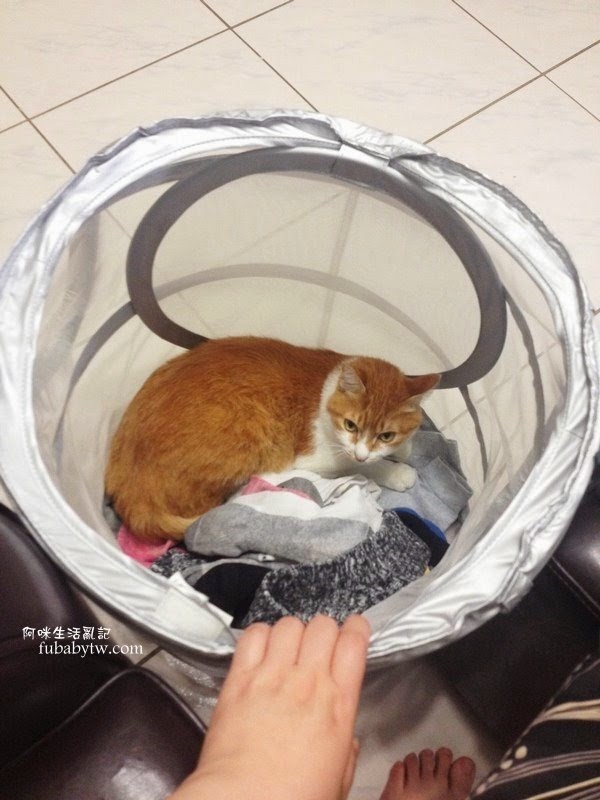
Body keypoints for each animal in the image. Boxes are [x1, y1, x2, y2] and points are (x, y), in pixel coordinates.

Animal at [105, 336, 439, 541]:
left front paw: (403, 449)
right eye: (351, 425)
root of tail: (130, 489)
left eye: (386, 434)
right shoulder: (319, 458)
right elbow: (362, 467)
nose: (362, 452)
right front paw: (396, 472)